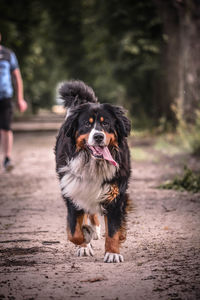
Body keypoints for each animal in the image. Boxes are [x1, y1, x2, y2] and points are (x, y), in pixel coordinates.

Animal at [55, 80, 131, 262]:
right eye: (87, 124)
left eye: (106, 123)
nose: (98, 136)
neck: (93, 163)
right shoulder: (72, 191)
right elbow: (73, 231)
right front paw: (85, 239)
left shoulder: (115, 193)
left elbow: (113, 229)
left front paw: (112, 253)